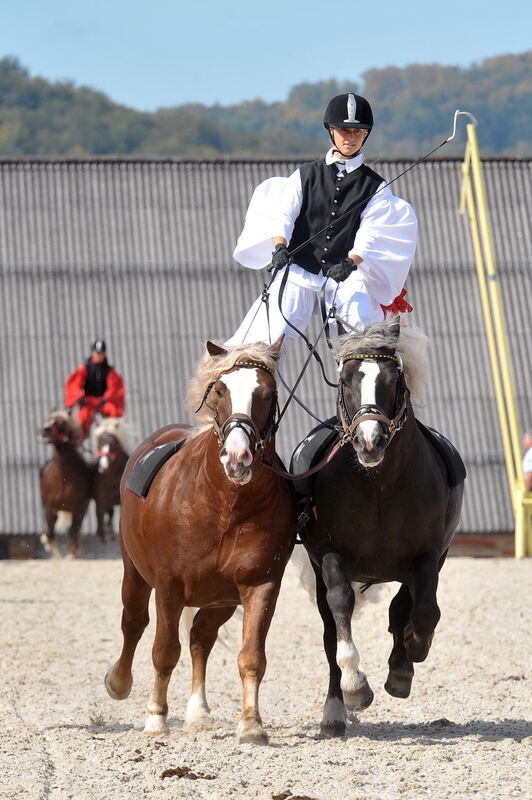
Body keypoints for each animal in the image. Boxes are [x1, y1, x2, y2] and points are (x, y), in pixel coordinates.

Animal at [38, 412, 94, 556]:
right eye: (48, 419)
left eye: (62, 422)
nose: (45, 430)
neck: (63, 477)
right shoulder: (50, 508)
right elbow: (50, 533)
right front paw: (48, 544)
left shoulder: (79, 509)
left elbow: (73, 532)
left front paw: (72, 553)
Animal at [104, 336, 296, 744]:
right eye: (220, 390)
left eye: (268, 394)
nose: (238, 457)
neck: (223, 504)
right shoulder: (168, 586)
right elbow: (163, 650)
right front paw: (155, 718)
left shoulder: (260, 585)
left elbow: (251, 656)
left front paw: (251, 725)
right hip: (135, 574)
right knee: (134, 623)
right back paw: (119, 682)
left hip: (220, 599)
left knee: (200, 638)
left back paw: (199, 712)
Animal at [300, 318, 466, 736]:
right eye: (345, 381)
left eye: (393, 380)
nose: (369, 441)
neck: (379, 485)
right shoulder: (328, 553)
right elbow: (341, 604)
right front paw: (355, 686)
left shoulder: (428, 556)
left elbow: (422, 611)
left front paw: (409, 657)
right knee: (330, 630)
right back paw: (335, 711)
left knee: (404, 606)